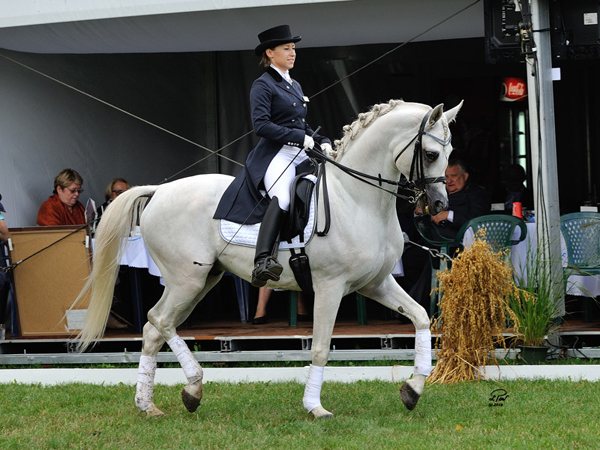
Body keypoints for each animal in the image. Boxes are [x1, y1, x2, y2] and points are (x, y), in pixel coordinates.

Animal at [75, 98, 460, 418]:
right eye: (430, 154)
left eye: (450, 151)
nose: (439, 205)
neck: (356, 197)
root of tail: (160, 190)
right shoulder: (330, 286)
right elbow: (320, 348)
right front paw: (315, 407)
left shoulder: (375, 283)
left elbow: (421, 318)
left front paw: (413, 389)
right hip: (188, 279)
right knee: (159, 320)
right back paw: (193, 386)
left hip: (202, 280)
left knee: (153, 329)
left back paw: (149, 404)